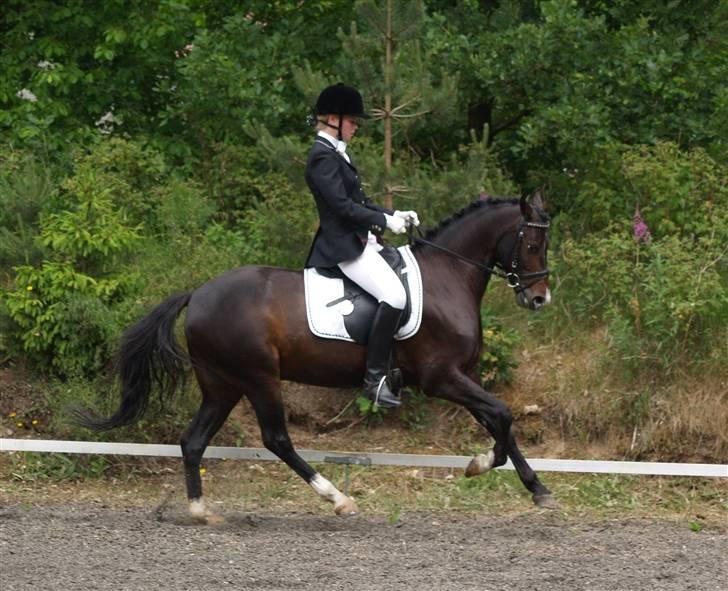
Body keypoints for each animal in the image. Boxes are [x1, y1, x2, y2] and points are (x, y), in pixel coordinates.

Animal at [77, 192, 557, 521]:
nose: (539, 298)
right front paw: (489, 468)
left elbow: (500, 422)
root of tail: (198, 294)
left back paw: (200, 511)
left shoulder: (462, 374)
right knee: (276, 439)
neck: (447, 277)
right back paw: (337, 498)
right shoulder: (442, 377)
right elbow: (503, 415)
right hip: (258, 378)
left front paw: (529, 485)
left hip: (223, 384)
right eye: (533, 244)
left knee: (193, 441)